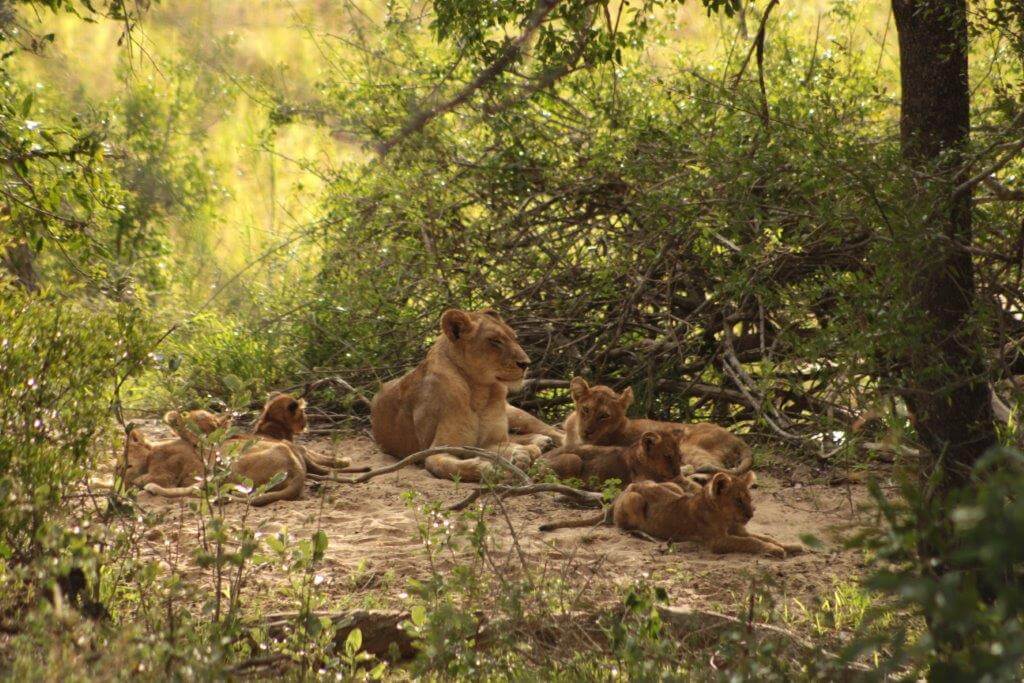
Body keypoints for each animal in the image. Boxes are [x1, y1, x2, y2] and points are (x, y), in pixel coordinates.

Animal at [370, 309, 561, 481]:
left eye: (514, 338)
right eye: (495, 341)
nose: (525, 363)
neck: (480, 390)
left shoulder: (491, 441)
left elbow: (506, 446)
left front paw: (521, 454)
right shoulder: (436, 450)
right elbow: (451, 466)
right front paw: (491, 467)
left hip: (517, 414)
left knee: (553, 431)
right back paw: (538, 444)